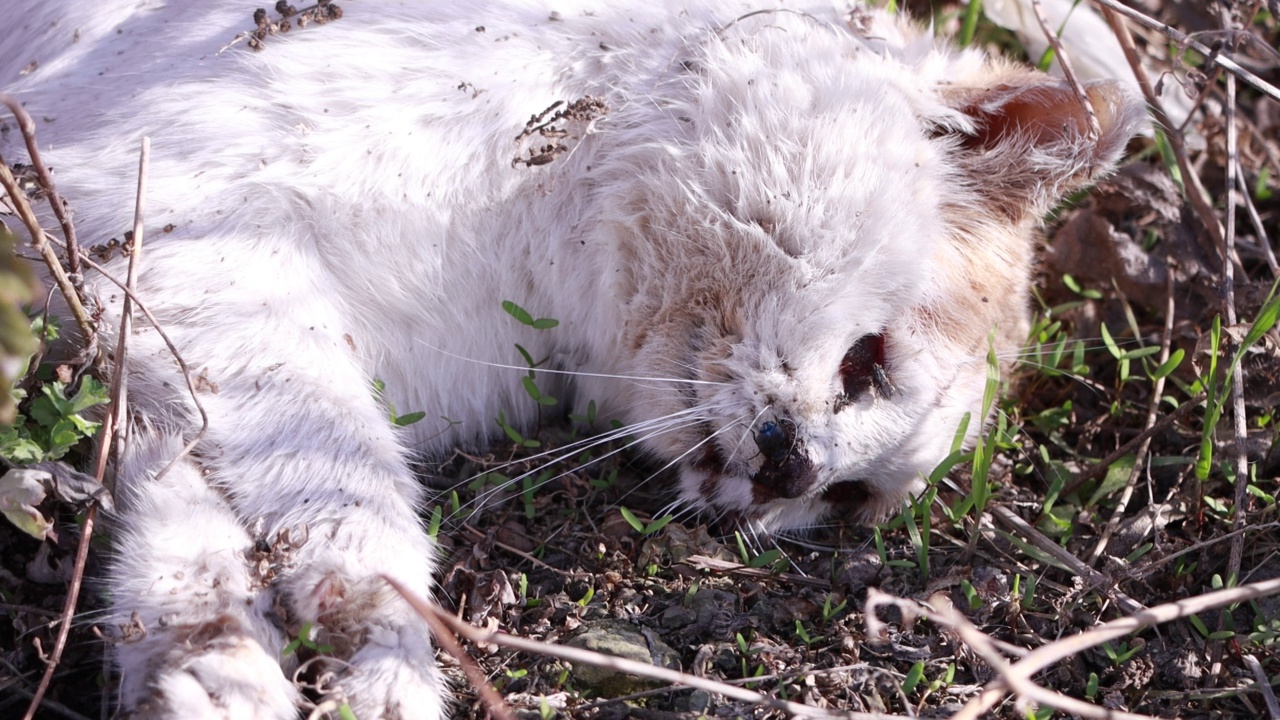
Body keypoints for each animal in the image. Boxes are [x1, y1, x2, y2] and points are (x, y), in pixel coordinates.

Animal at [0, 0, 1141, 712]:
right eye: (868, 361)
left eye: (846, 503)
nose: (793, 472)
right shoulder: (179, 228)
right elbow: (353, 495)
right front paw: (384, 660)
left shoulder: (173, 336)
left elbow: (188, 531)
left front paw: (215, 681)